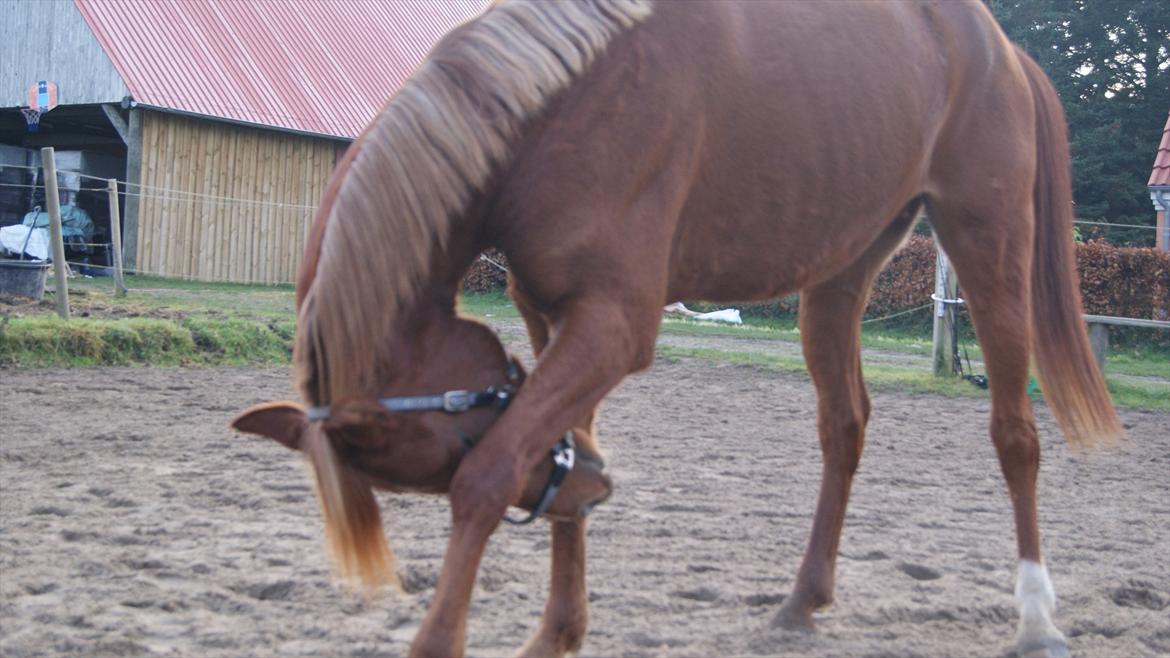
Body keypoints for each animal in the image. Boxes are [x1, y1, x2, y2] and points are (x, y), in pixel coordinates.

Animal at [232, 2, 1118, 650]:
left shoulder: (614, 327)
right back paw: (803, 599)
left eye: (454, 444)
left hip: (987, 243)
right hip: (841, 271)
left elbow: (493, 475)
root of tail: (1001, 48)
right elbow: (556, 437)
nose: (596, 488)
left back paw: (1037, 618)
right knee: (845, 425)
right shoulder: (551, 314)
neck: (559, 99)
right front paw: (558, 632)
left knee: (1014, 434)